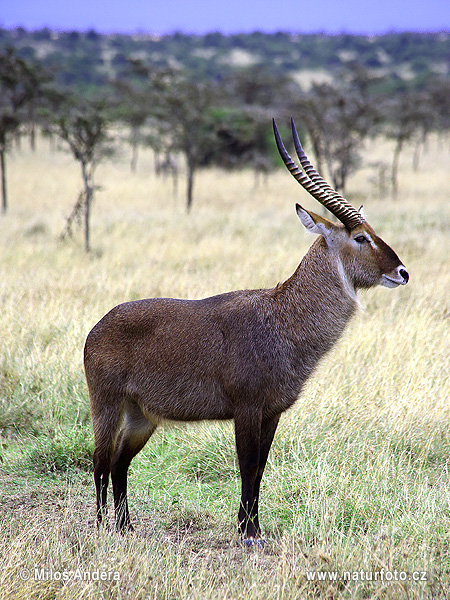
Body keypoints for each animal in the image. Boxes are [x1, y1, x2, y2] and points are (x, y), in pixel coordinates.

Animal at [83, 117, 408, 544]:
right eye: (360, 237)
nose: (402, 272)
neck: (283, 316)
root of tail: (96, 328)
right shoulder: (247, 409)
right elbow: (247, 466)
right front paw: (248, 532)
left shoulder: (272, 413)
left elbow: (260, 468)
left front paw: (251, 527)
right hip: (107, 404)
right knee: (100, 459)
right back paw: (102, 526)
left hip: (142, 416)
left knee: (120, 462)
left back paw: (125, 525)